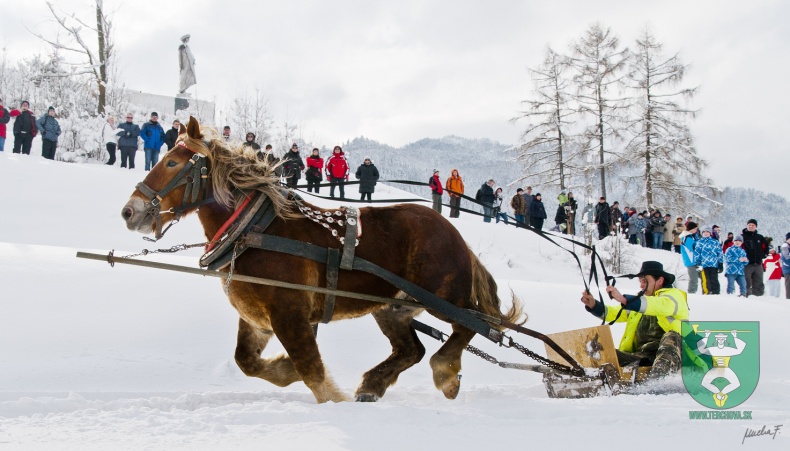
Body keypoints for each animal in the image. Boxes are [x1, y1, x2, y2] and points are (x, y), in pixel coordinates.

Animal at [119, 115, 524, 402]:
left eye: (173, 164)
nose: (129, 211)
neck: (255, 229)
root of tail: (455, 234)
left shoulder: (289, 314)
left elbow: (312, 370)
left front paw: (328, 396)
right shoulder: (259, 319)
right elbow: (247, 361)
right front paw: (284, 369)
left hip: (443, 297)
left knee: (467, 328)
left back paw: (445, 372)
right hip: (391, 307)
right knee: (413, 348)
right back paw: (373, 385)